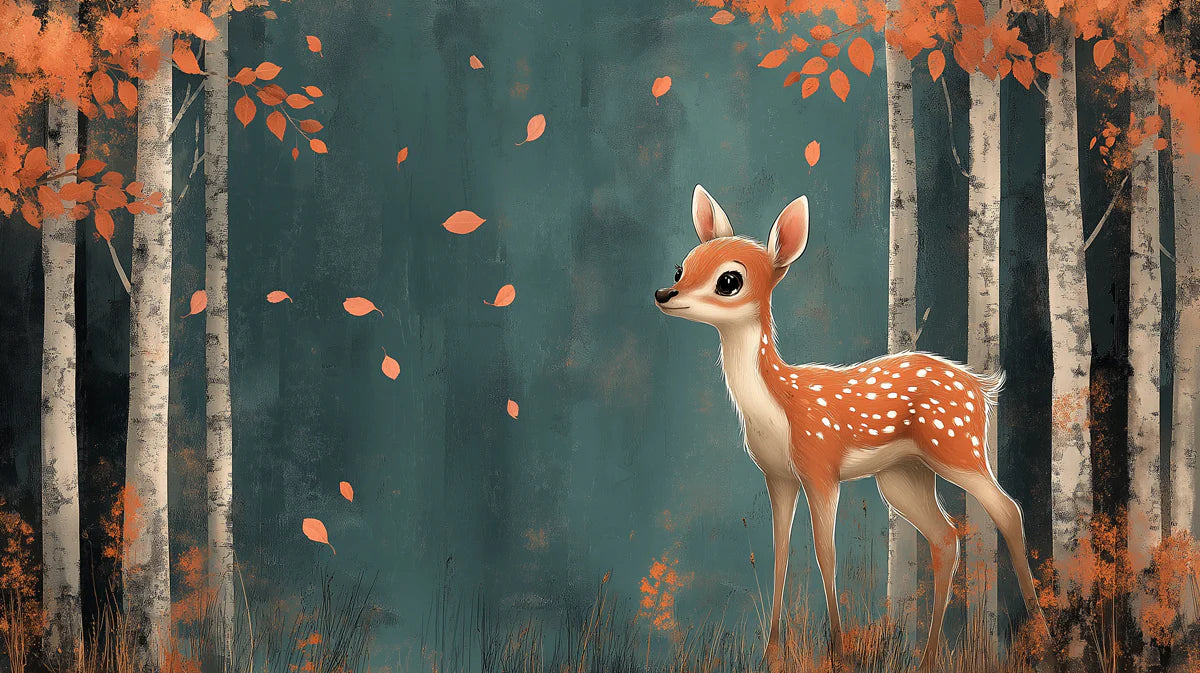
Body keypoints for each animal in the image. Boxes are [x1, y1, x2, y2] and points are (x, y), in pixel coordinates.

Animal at [654, 186, 1048, 673]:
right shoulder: (778, 475)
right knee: (945, 537)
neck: (779, 407)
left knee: (1007, 510)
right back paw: (927, 658)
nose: (664, 292)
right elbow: (780, 551)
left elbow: (826, 553)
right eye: (682, 266)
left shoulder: (821, 465)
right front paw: (773, 653)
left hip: (957, 445)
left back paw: (1043, 639)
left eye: (729, 280)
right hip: (902, 475)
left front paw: (838, 651)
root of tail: (979, 385)